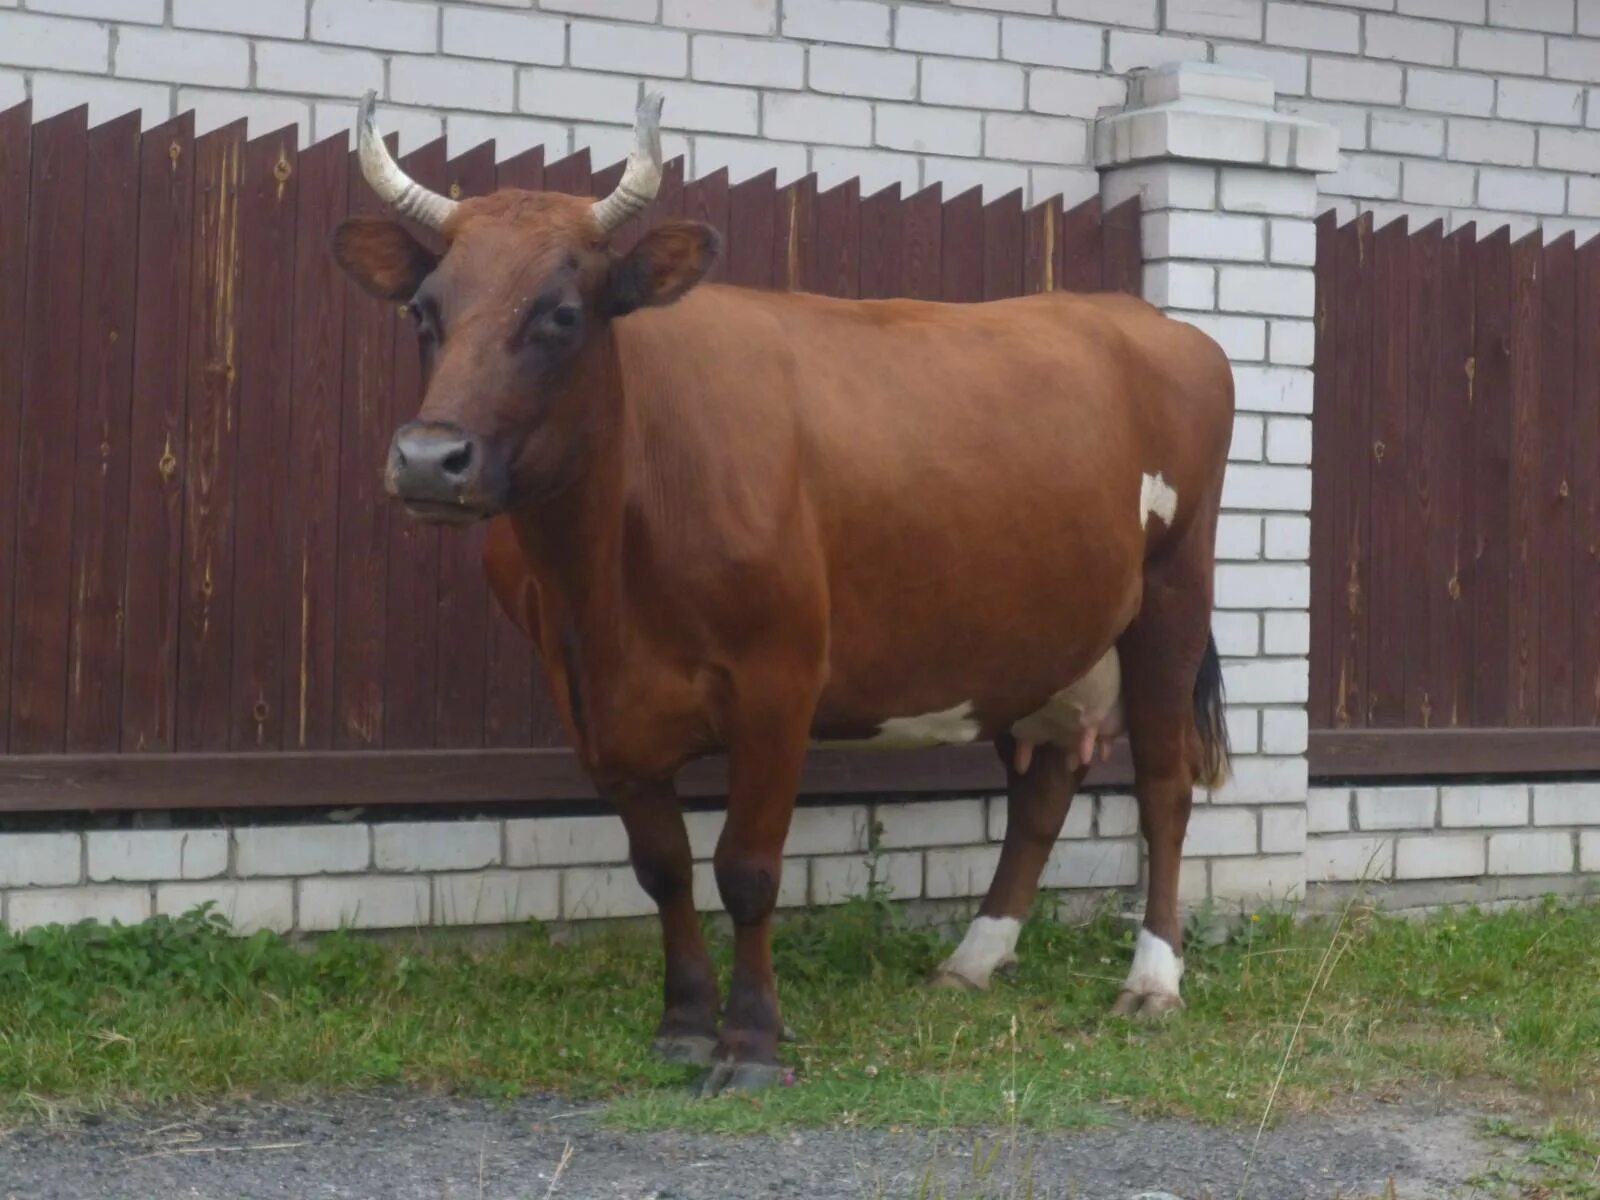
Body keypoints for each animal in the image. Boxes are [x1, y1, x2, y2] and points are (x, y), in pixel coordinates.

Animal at [334, 91, 1235, 1100]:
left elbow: (747, 869)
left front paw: (751, 1042)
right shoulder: (595, 707)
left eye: (562, 315)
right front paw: (684, 1024)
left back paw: (1153, 981)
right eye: (424, 310)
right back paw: (969, 962)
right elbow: (664, 867)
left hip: (1173, 598)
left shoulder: (779, 681)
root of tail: (1147, 319)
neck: (603, 582)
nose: (428, 460)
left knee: (1164, 787)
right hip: (1046, 641)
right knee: (1043, 791)